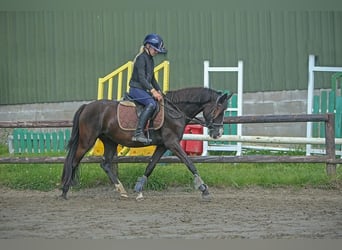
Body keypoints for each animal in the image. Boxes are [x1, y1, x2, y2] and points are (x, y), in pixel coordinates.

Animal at [61, 87, 232, 200]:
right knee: (74, 161)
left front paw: (139, 189)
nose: (218, 134)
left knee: (106, 164)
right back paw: (64, 191)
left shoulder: (163, 146)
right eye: (218, 110)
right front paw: (204, 189)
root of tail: (86, 106)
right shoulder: (172, 143)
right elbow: (190, 163)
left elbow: (150, 166)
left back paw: (121, 190)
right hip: (87, 140)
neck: (175, 111)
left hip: (110, 141)